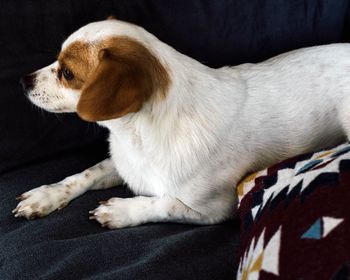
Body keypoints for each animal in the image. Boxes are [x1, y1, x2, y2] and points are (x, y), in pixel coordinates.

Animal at [15, 17, 350, 228]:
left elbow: (163, 203)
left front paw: (123, 210)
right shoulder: (123, 164)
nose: (24, 81)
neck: (136, 135)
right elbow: (83, 175)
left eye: (67, 73)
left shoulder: (213, 208)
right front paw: (46, 195)